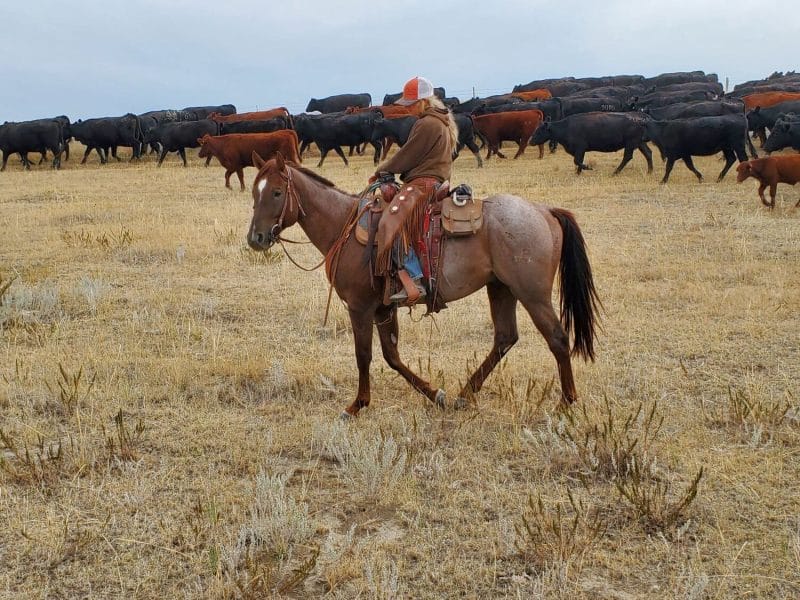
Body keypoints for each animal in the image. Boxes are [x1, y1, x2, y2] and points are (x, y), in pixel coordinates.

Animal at [248, 152, 600, 418]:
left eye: (276, 192)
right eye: (254, 193)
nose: (256, 238)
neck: (344, 226)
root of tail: (544, 211)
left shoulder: (360, 308)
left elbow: (364, 355)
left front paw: (356, 405)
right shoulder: (383, 309)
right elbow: (392, 356)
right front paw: (436, 395)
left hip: (532, 294)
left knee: (557, 338)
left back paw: (565, 402)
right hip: (501, 288)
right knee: (504, 338)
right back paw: (464, 395)